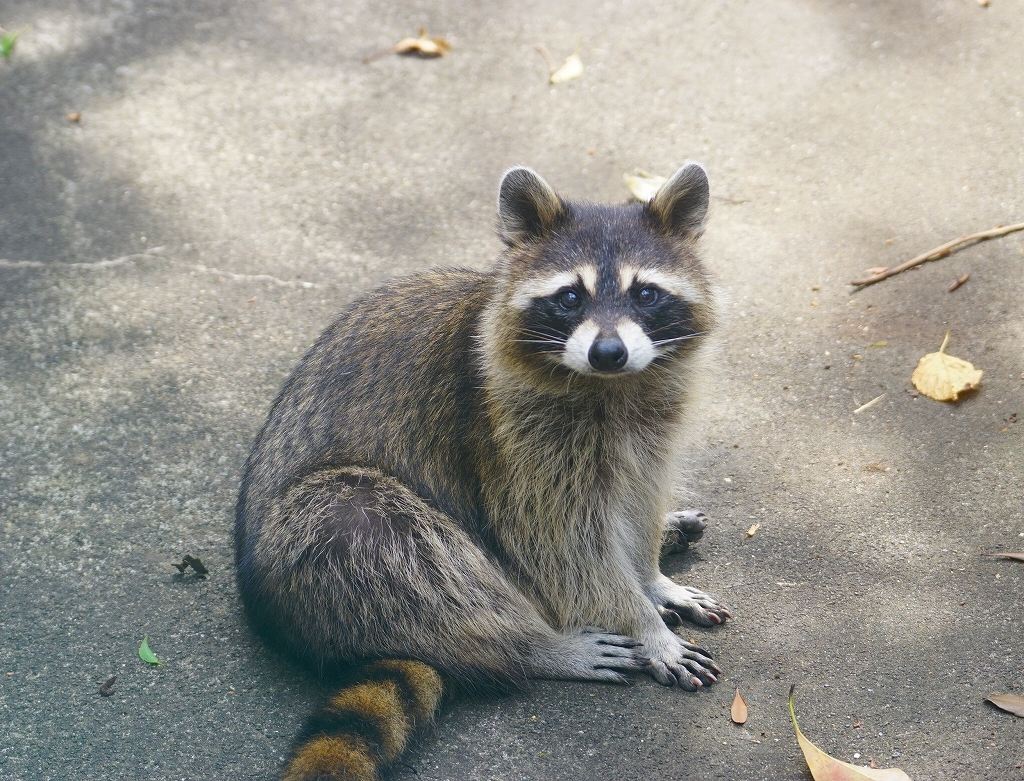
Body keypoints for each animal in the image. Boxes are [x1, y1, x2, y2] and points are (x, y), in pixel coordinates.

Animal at [234, 161, 729, 777]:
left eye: (645, 294)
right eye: (570, 297)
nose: (608, 352)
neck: (611, 385)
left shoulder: (649, 423)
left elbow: (640, 493)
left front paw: (651, 574)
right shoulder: (509, 435)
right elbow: (558, 541)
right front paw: (641, 622)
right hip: (322, 546)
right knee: (363, 523)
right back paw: (534, 645)